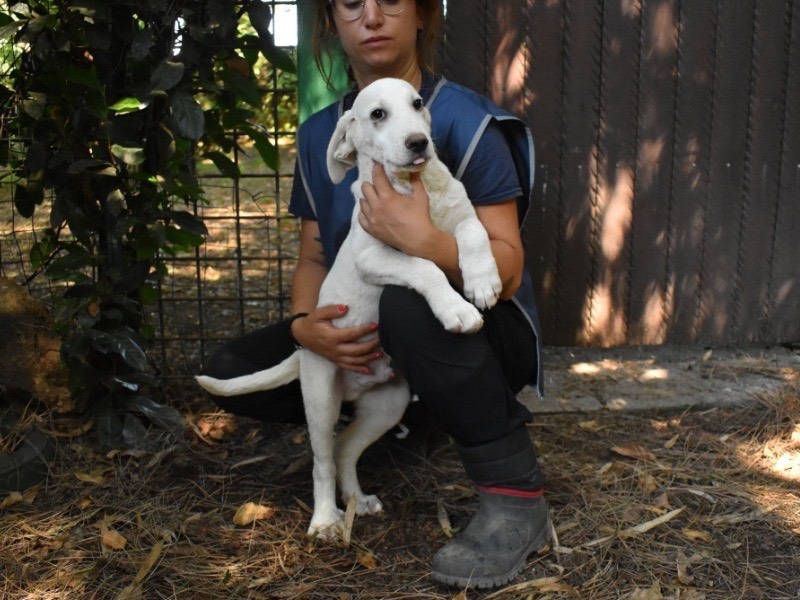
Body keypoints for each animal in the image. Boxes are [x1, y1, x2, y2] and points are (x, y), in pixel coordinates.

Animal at [196, 77, 500, 540]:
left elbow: (473, 232)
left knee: (344, 450)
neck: (415, 187)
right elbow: (425, 264)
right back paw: (326, 519)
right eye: (377, 114)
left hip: (387, 406)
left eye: (417, 104)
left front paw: (483, 281)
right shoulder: (371, 256)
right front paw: (456, 308)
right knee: (323, 459)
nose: (419, 142)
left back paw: (357, 500)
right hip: (321, 399)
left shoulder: (462, 217)